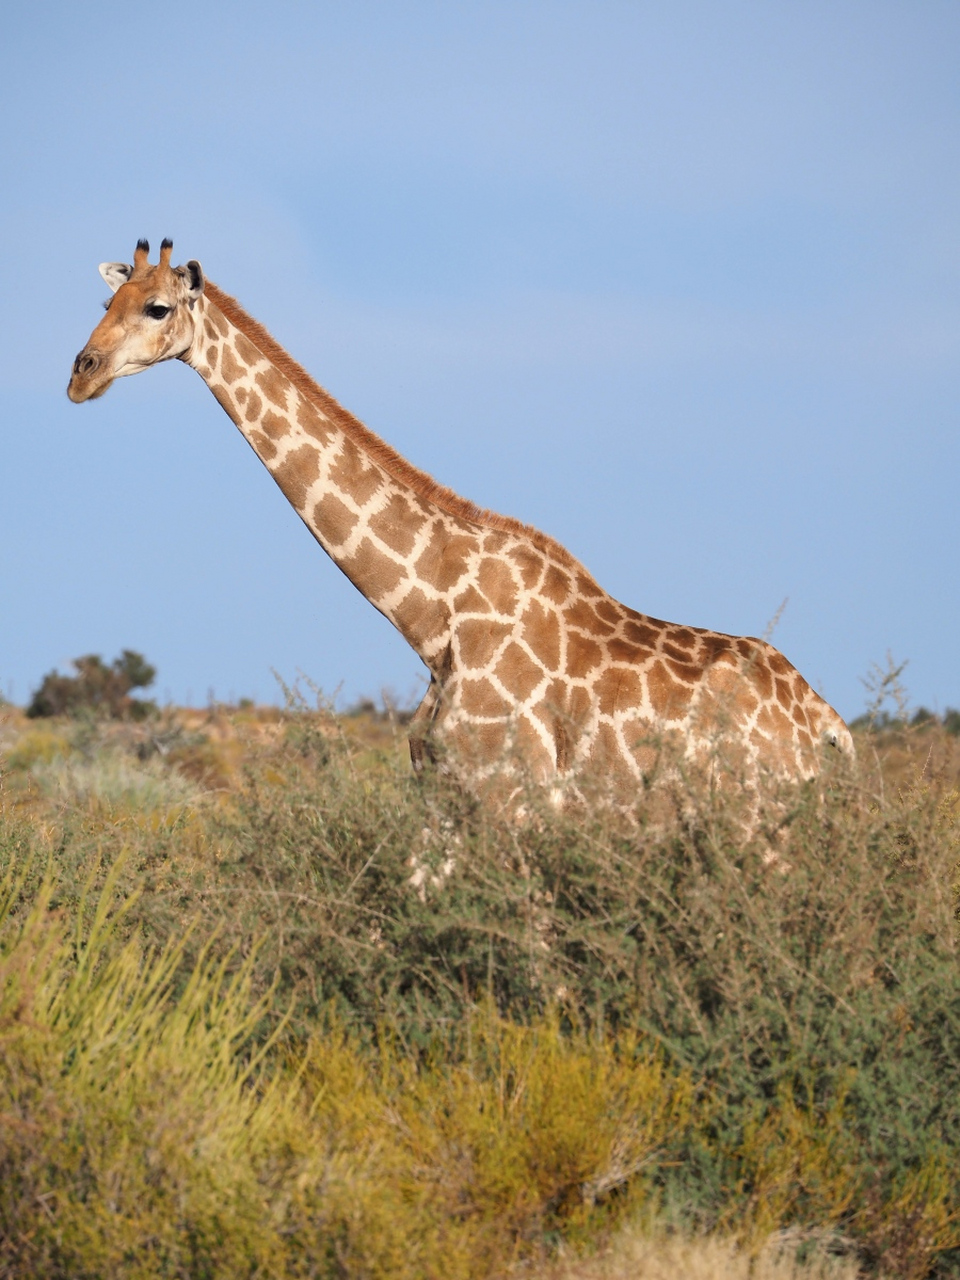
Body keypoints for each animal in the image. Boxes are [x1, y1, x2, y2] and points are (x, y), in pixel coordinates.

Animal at [67, 240, 855, 808]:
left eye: (158, 308)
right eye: (107, 299)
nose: (82, 373)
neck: (431, 617)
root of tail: (830, 729)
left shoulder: (513, 796)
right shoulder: (443, 795)